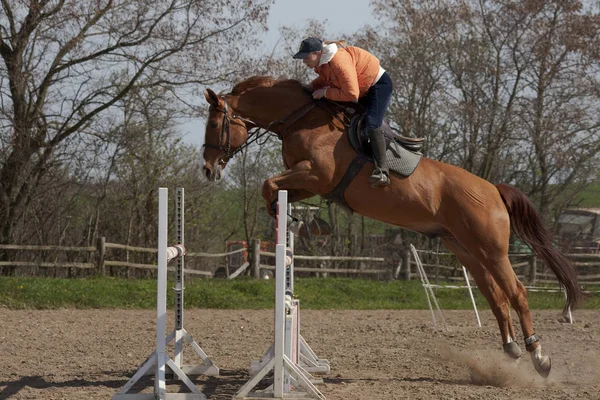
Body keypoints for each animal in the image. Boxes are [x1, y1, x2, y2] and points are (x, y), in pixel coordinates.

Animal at [200, 75, 580, 378]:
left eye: (215, 125)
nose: (207, 169)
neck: (303, 120)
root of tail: (494, 190)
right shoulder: (306, 183)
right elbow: (274, 188)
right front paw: (298, 223)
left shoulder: (315, 175)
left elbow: (268, 184)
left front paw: (289, 221)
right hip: (466, 250)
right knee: (497, 298)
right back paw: (511, 350)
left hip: (492, 249)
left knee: (517, 293)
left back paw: (539, 356)